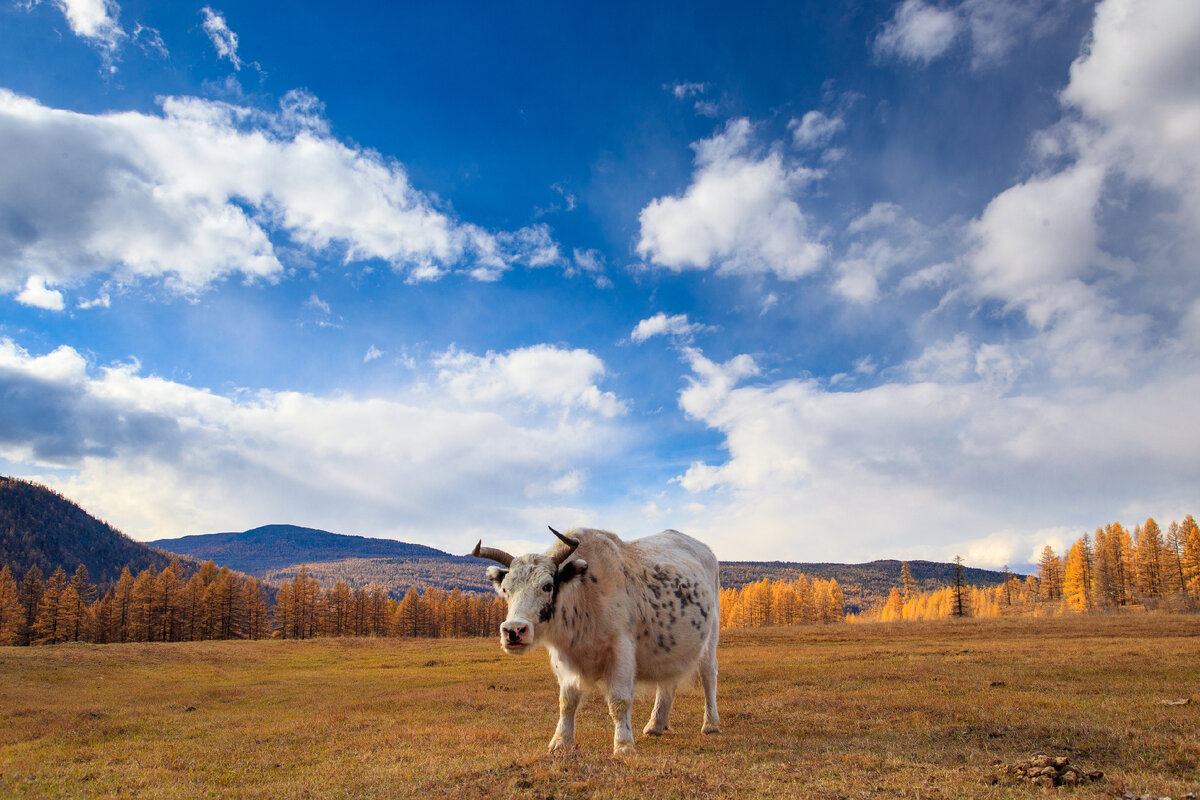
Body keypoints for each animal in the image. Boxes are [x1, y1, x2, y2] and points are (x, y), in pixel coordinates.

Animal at [471, 526, 721, 755]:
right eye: (506, 589)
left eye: (547, 586)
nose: (513, 631)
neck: (583, 594)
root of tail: (706, 550)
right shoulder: (564, 659)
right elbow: (567, 701)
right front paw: (560, 742)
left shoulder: (621, 650)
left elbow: (619, 701)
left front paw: (624, 746)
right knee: (667, 682)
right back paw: (655, 725)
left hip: (710, 640)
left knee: (708, 676)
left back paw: (710, 725)